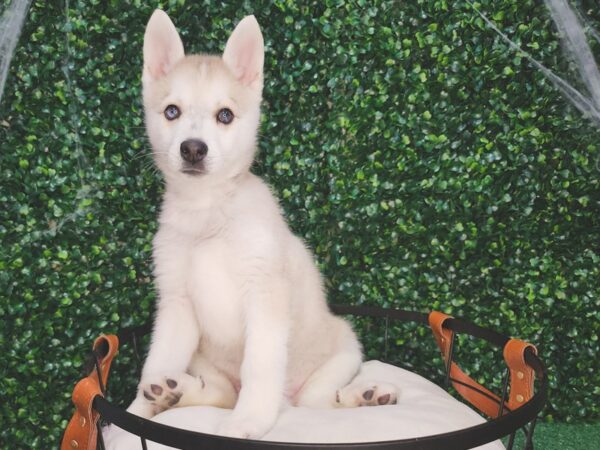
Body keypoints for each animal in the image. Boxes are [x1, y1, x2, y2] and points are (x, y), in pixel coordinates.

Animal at [126, 10, 398, 440]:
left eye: (225, 115)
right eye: (171, 111)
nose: (193, 149)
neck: (209, 212)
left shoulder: (265, 297)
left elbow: (259, 366)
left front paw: (249, 420)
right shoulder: (177, 305)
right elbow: (154, 362)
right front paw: (135, 413)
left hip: (344, 346)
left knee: (319, 401)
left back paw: (366, 395)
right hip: (203, 357)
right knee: (219, 391)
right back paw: (174, 392)